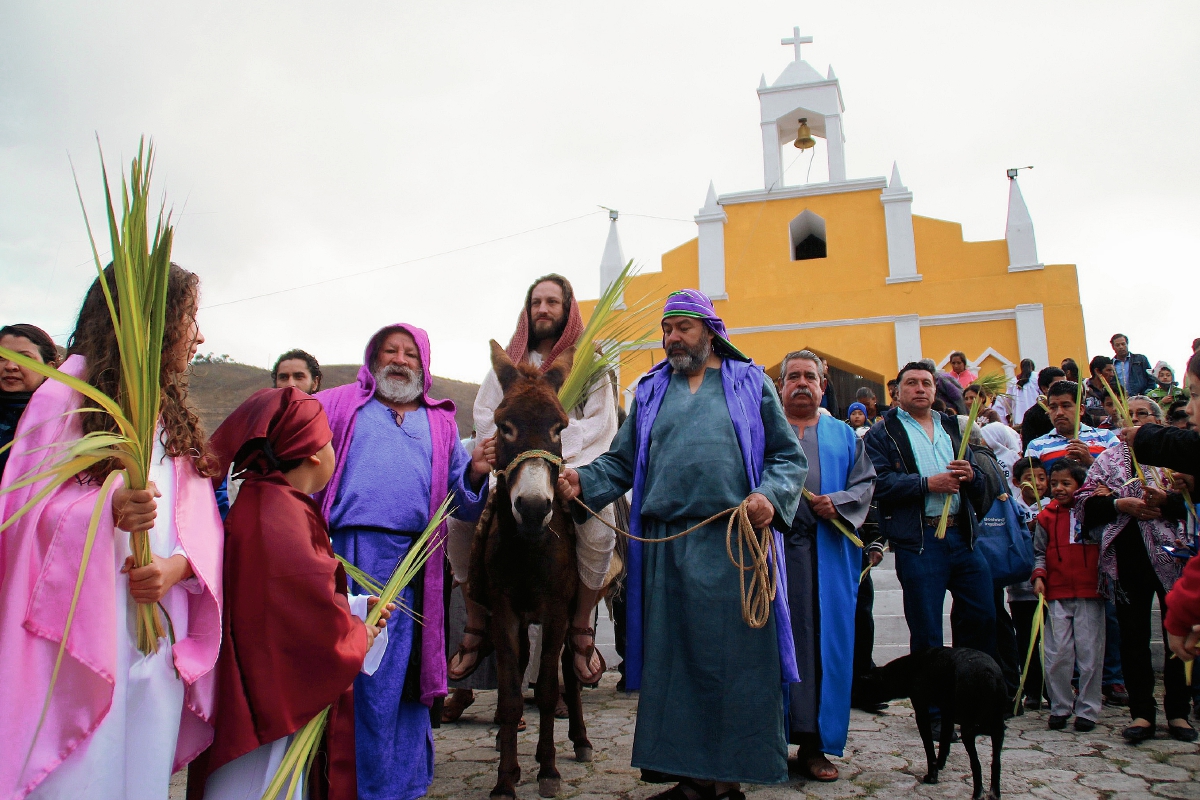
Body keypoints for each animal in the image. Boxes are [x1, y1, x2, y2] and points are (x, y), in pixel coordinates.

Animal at [859, 647, 1008, 796]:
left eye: (865, 688)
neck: (911, 667)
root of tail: (988, 673)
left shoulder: (922, 712)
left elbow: (929, 747)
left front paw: (932, 776)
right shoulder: (947, 713)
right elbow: (944, 740)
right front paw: (940, 763)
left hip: (968, 730)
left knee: (976, 763)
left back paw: (977, 794)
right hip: (997, 729)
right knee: (996, 763)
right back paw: (995, 794)